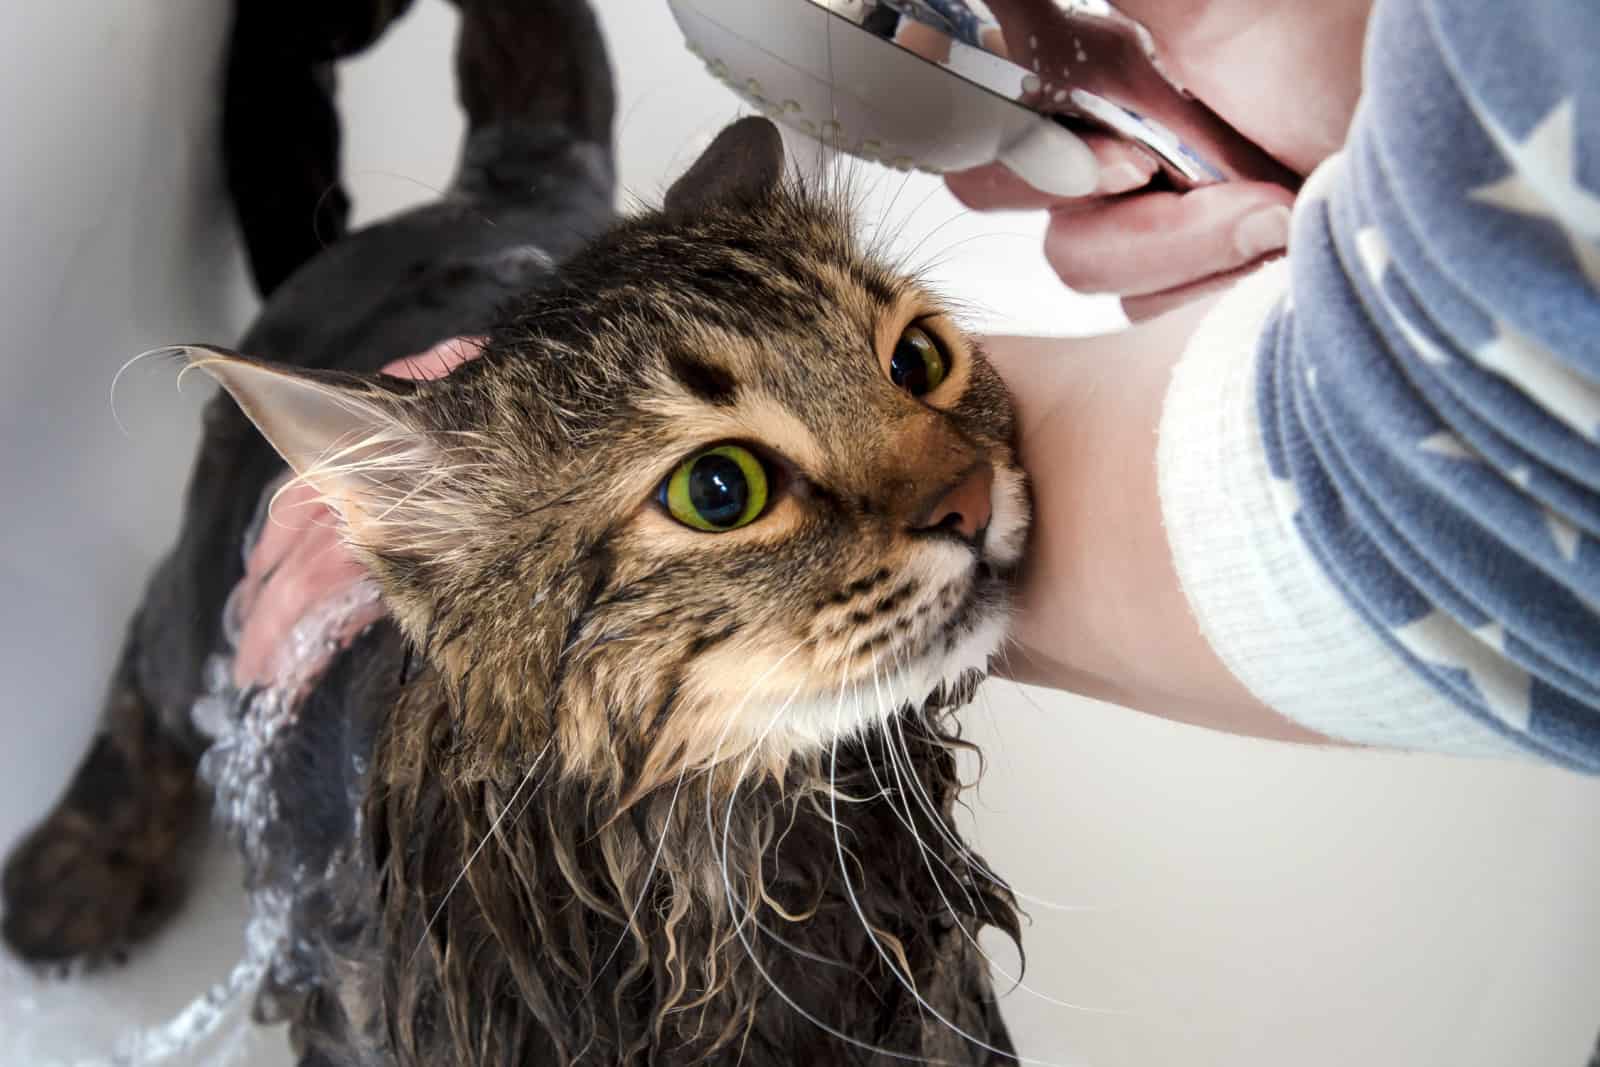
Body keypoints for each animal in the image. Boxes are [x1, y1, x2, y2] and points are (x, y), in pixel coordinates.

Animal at [3, 2, 1024, 1067]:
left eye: (917, 360)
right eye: (719, 489)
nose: (971, 497)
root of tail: (513, 176)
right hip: (204, 612)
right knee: (145, 664)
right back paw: (74, 873)